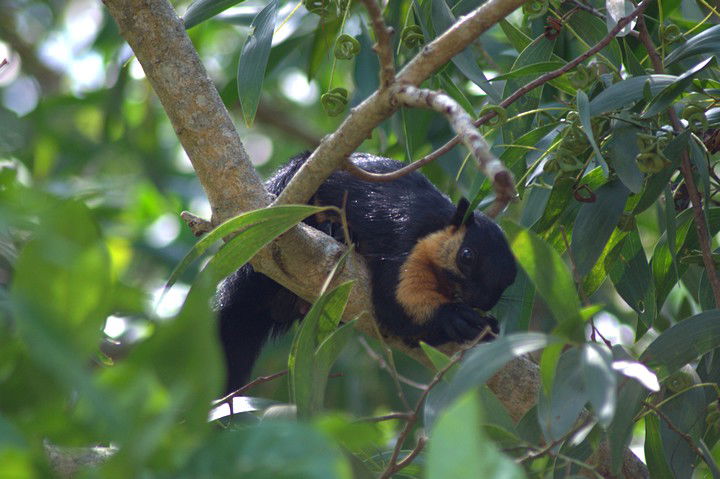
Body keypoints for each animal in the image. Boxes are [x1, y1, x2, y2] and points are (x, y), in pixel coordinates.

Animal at [217, 154, 516, 394]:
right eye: (467, 256)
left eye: (510, 281)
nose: (481, 300)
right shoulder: (404, 240)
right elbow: (396, 306)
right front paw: (456, 317)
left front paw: (490, 321)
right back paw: (335, 231)